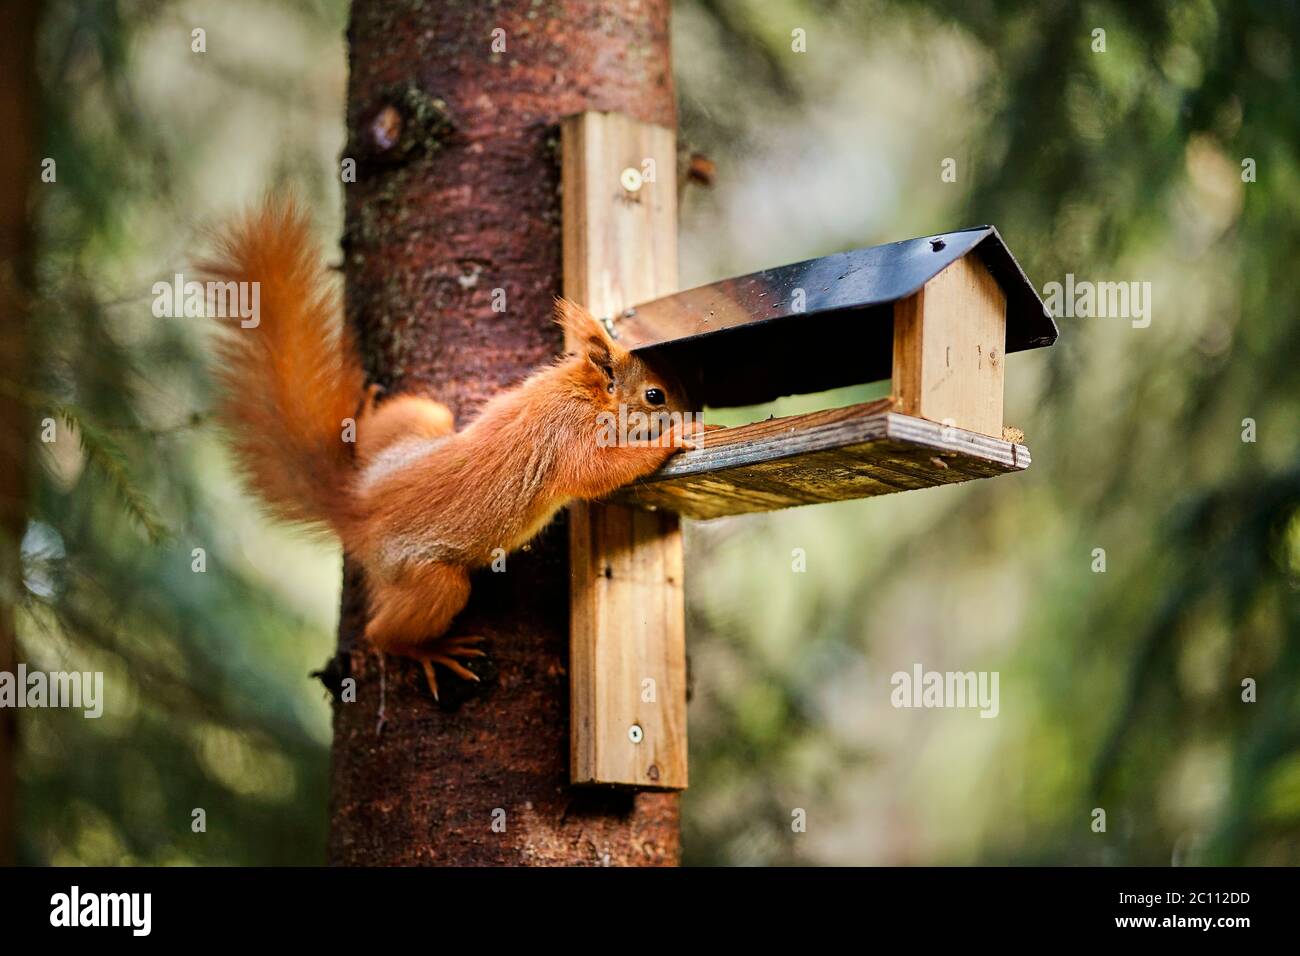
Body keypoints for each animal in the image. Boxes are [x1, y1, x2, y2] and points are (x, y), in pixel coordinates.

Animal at [202, 197, 703, 698]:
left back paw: (365, 413)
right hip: (432, 580)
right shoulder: (569, 439)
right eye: (655, 395)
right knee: (384, 631)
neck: (582, 392)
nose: (690, 414)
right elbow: (597, 472)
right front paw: (671, 440)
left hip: (423, 419)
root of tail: (358, 506)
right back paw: (431, 651)